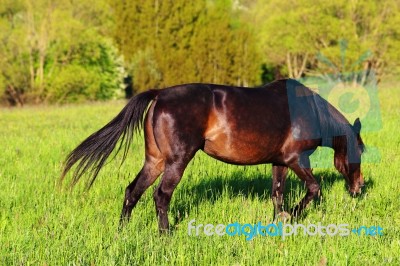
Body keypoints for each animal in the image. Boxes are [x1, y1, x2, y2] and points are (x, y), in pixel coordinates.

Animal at [60, 78, 366, 232]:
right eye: (360, 150)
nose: (359, 188)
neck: (308, 111)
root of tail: (159, 95)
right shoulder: (296, 160)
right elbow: (313, 188)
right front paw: (291, 215)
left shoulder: (279, 162)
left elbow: (277, 194)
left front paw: (278, 220)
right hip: (177, 161)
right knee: (161, 195)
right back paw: (165, 234)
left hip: (155, 161)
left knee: (133, 191)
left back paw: (122, 231)